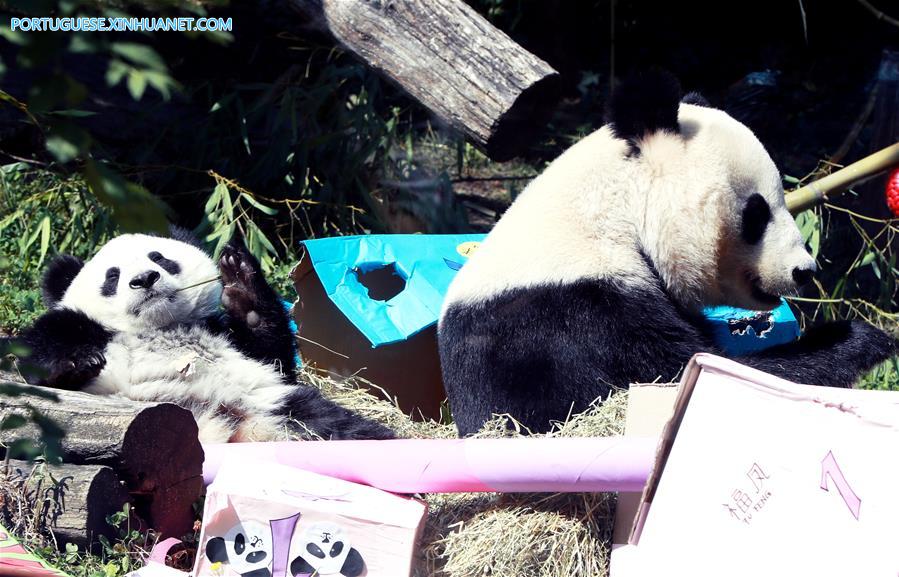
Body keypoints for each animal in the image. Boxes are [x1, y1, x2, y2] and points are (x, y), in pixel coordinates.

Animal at [19, 230, 392, 440]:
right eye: (112, 276)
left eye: (160, 258)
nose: (144, 279)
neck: (162, 327)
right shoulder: (89, 330)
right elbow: (39, 350)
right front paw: (74, 363)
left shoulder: (226, 336)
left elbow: (274, 355)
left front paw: (242, 286)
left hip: (277, 405)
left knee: (345, 428)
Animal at [438, 71, 899, 436]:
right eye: (756, 213)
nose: (804, 270)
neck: (611, 212)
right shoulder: (575, 318)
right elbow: (686, 374)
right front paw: (860, 337)